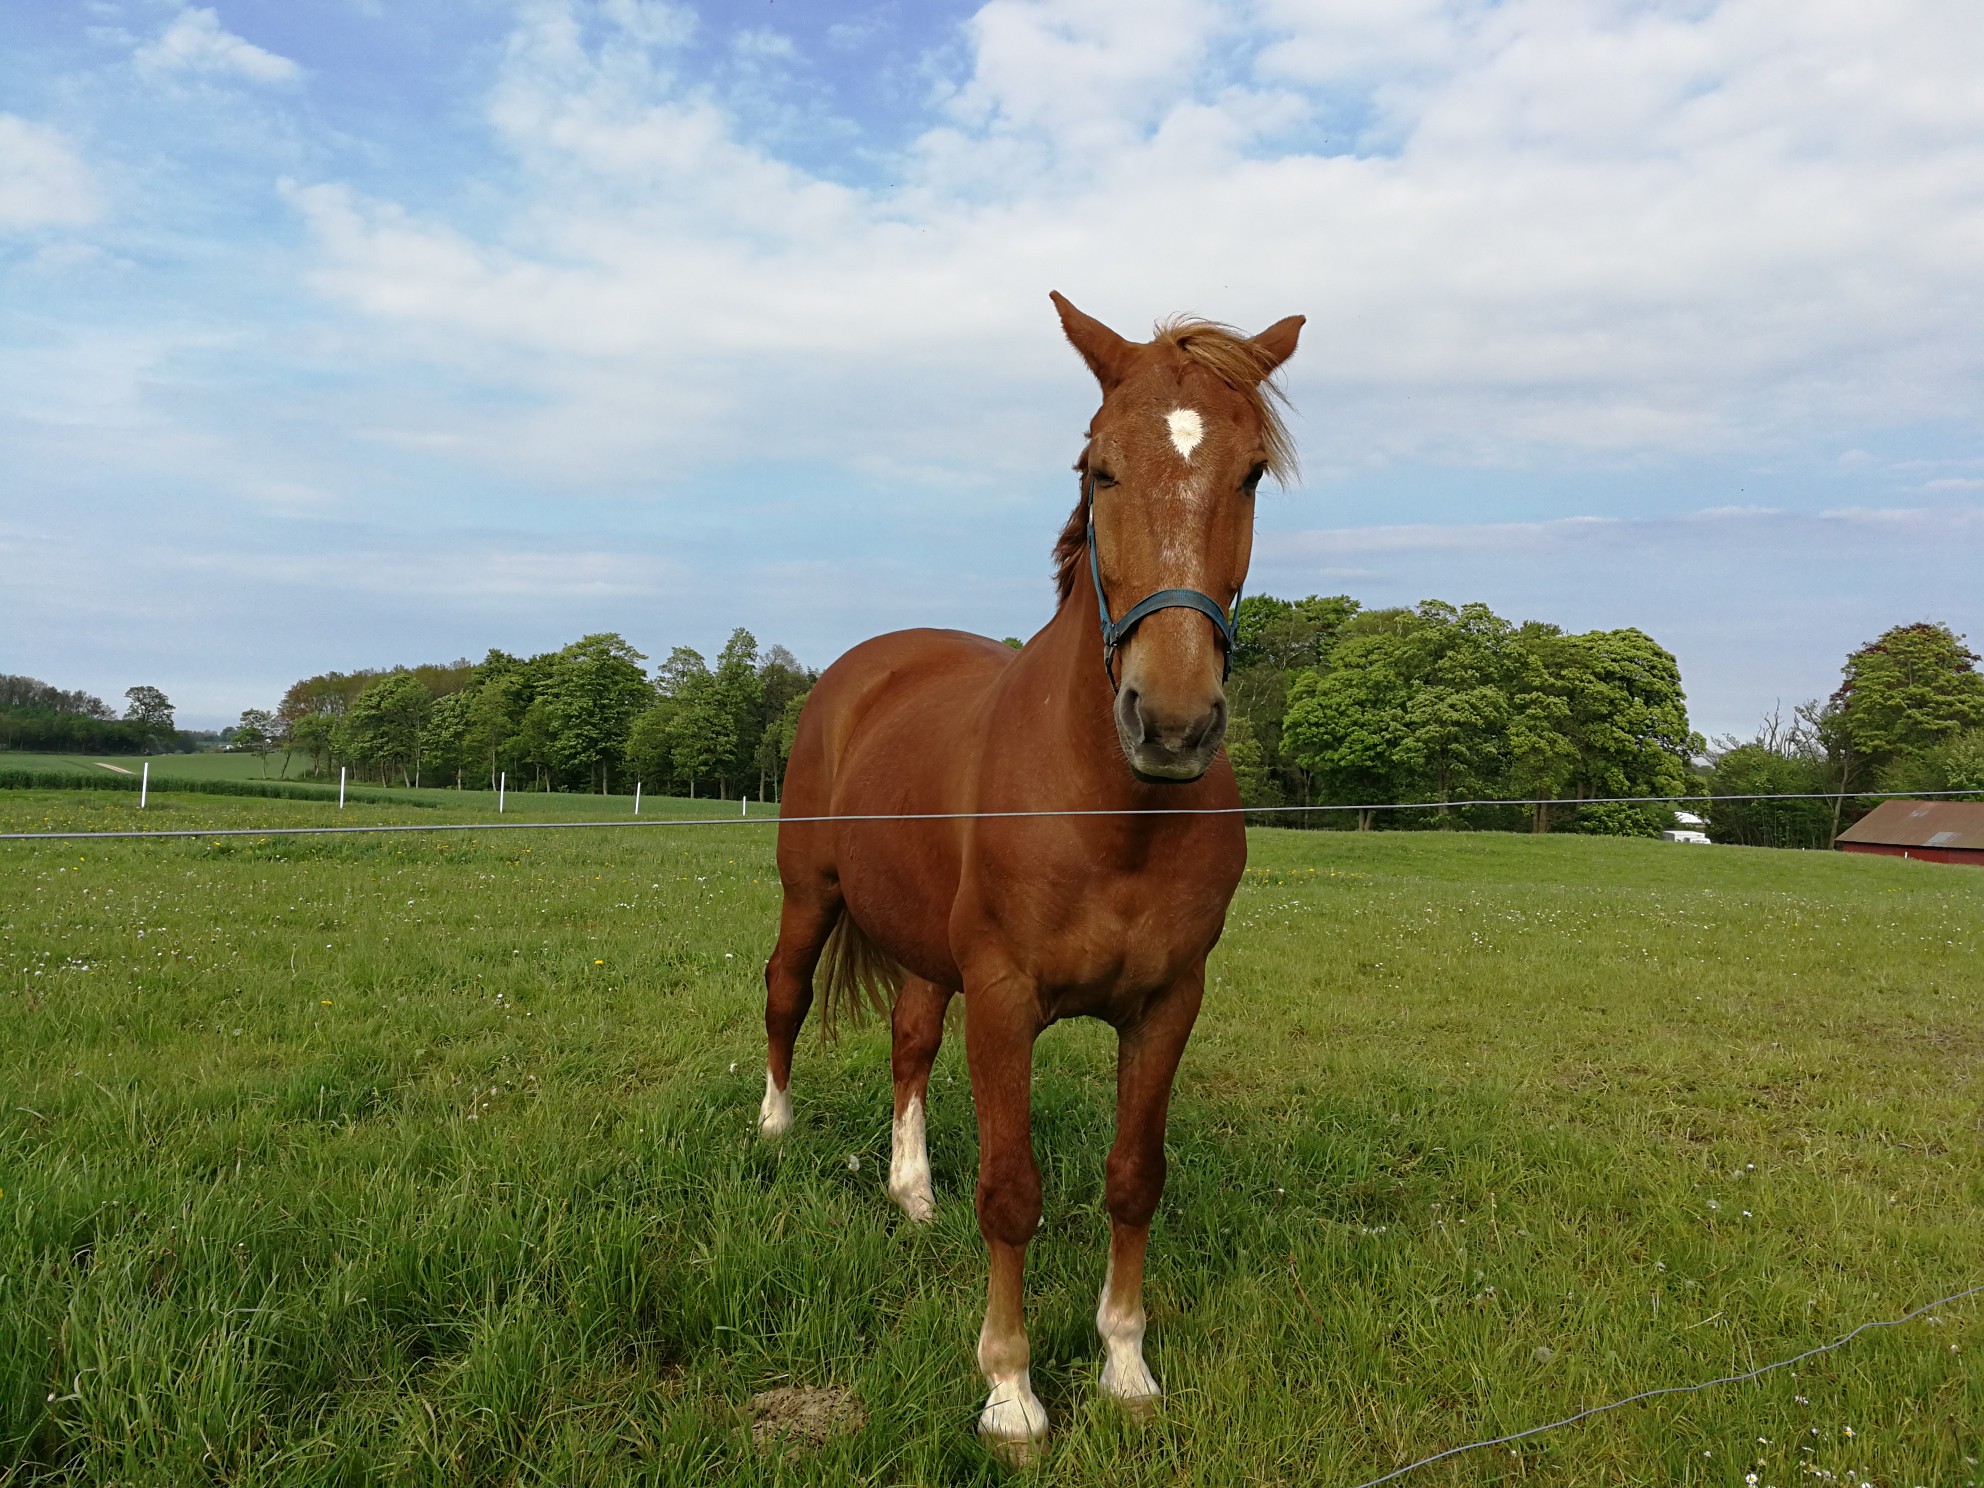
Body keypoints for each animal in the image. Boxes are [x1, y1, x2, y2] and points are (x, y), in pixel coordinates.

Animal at [757, 293, 1301, 1460]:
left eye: (1247, 474)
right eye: (1098, 468)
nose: (1171, 722)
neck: (1113, 810)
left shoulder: (1168, 1003)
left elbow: (1133, 1179)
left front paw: (1126, 1366)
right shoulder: (1005, 1000)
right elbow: (1012, 1191)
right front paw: (1010, 1391)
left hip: (926, 949)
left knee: (910, 1041)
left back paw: (911, 1191)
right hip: (810, 895)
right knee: (784, 994)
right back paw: (774, 1131)